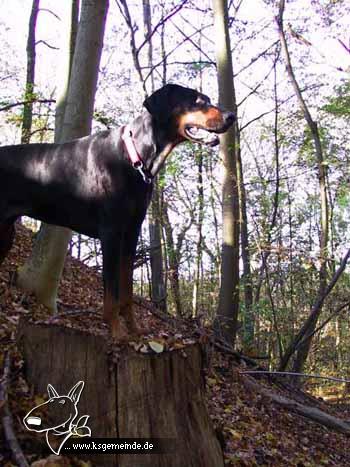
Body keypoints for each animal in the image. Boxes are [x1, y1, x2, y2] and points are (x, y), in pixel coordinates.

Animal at [1, 84, 235, 338]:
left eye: (208, 99)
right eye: (197, 100)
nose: (231, 116)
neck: (135, 158)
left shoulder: (131, 233)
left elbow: (127, 289)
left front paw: (134, 328)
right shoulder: (111, 233)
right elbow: (111, 291)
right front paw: (116, 331)